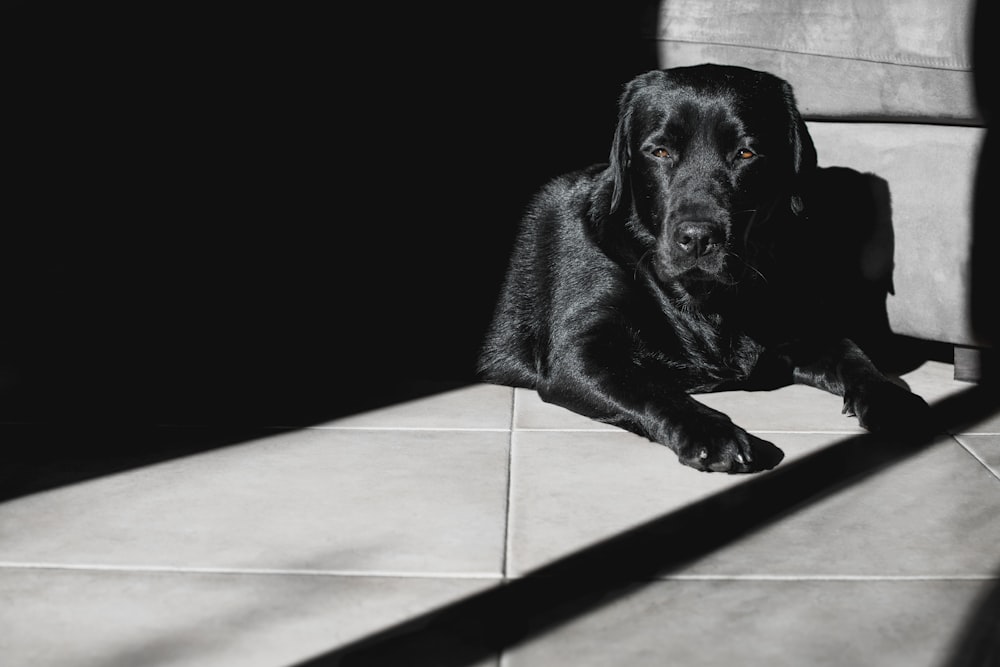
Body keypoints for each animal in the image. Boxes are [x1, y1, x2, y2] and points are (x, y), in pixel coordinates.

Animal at [476, 65, 928, 472]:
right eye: (659, 151)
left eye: (745, 153)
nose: (697, 237)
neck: (709, 300)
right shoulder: (581, 354)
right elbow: (654, 389)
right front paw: (714, 433)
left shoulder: (804, 326)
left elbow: (856, 356)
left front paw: (892, 399)